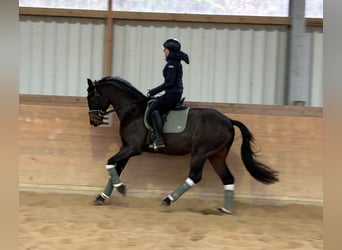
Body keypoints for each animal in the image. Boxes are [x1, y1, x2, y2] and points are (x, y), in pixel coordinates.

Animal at [87, 75, 280, 213]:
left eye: (92, 99)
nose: (94, 121)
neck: (133, 110)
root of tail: (228, 121)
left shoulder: (132, 148)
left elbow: (110, 163)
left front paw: (121, 188)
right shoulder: (126, 148)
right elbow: (115, 168)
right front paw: (102, 196)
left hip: (201, 153)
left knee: (195, 176)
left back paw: (167, 200)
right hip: (216, 155)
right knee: (227, 178)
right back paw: (225, 210)